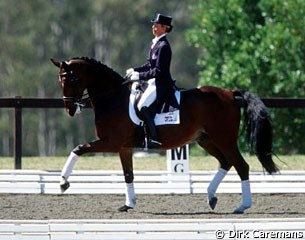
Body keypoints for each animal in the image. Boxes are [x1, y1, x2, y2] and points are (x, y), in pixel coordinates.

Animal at [50, 56, 278, 214]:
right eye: (60, 80)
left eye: (72, 79)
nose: (69, 109)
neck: (113, 98)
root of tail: (229, 93)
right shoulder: (124, 147)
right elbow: (128, 174)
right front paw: (128, 204)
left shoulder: (112, 142)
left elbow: (78, 149)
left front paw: (63, 183)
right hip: (206, 140)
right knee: (226, 162)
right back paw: (211, 196)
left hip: (224, 139)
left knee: (241, 166)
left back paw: (242, 206)